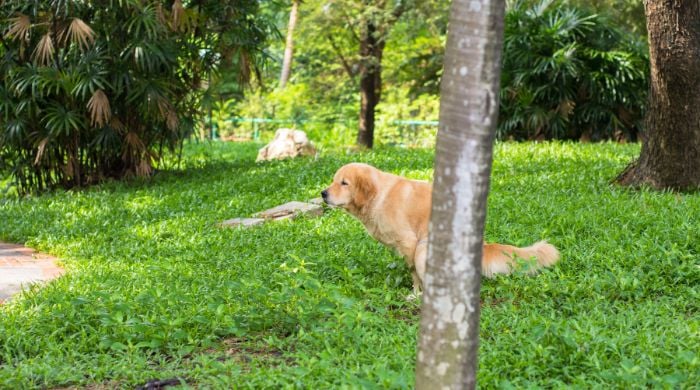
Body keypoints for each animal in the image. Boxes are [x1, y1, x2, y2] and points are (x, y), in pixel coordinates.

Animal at [322, 161, 556, 292]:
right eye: (334, 181)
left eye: (344, 183)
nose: (323, 193)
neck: (378, 196)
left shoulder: (410, 242)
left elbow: (414, 274)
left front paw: (415, 293)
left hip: (424, 248)